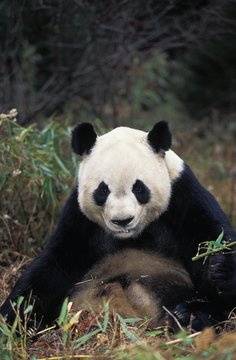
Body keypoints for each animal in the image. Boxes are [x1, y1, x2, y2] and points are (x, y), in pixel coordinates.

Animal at [0, 121, 236, 332]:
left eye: (139, 188)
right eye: (102, 190)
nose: (123, 220)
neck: (132, 235)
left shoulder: (183, 194)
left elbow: (209, 238)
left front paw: (219, 270)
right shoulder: (78, 216)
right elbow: (55, 264)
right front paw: (14, 317)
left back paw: (189, 316)